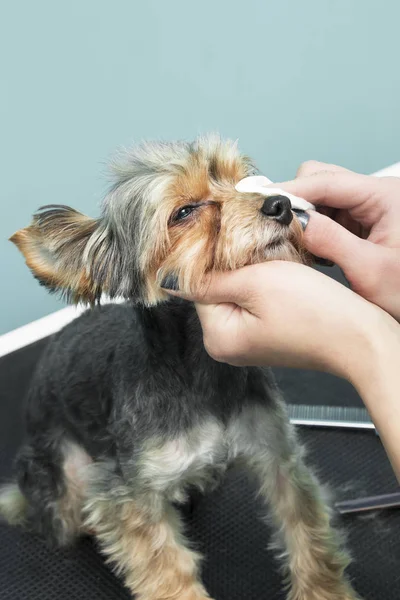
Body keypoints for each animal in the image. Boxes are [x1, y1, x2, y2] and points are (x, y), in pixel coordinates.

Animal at [0, 136, 360, 600]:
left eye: (242, 182)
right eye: (184, 212)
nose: (280, 204)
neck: (199, 370)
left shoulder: (277, 454)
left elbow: (307, 531)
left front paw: (325, 589)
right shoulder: (129, 495)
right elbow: (167, 569)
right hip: (65, 480)